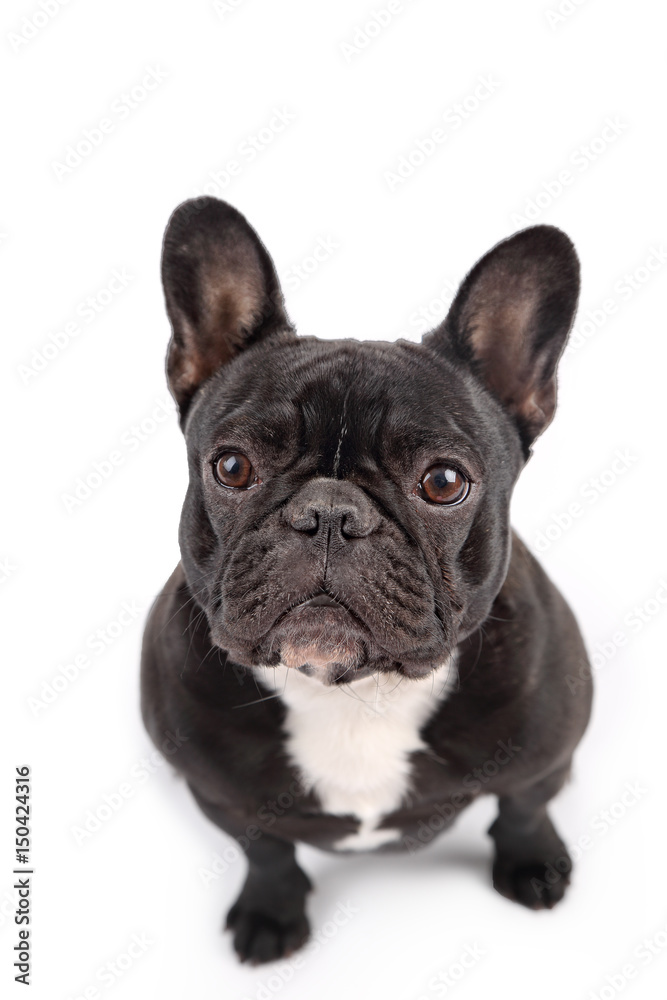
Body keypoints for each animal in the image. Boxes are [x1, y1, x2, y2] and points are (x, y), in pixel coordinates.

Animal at [142, 199, 596, 964]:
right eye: (232, 466)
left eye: (443, 482)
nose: (330, 513)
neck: (353, 691)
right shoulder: (222, 796)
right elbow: (265, 849)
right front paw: (271, 912)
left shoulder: (541, 756)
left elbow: (526, 806)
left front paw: (532, 864)